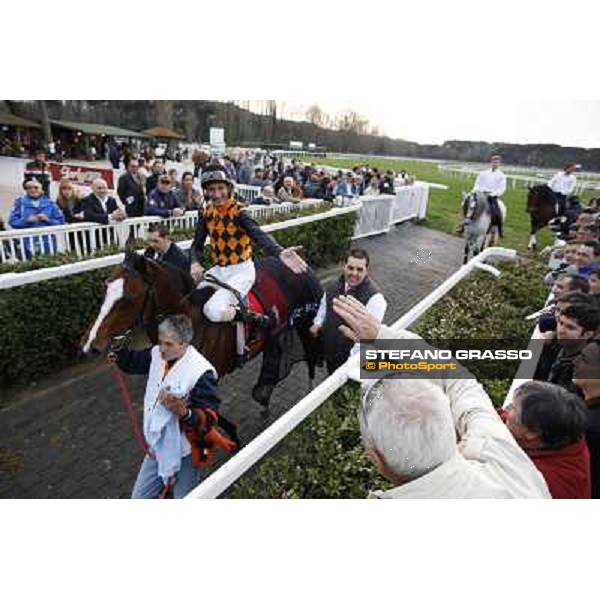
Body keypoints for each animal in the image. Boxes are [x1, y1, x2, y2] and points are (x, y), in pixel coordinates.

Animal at [81, 248, 324, 408]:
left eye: (128, 299)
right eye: (105, 289)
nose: (89, 344)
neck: (191, 323)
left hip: (306, 322)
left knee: (311, 358)